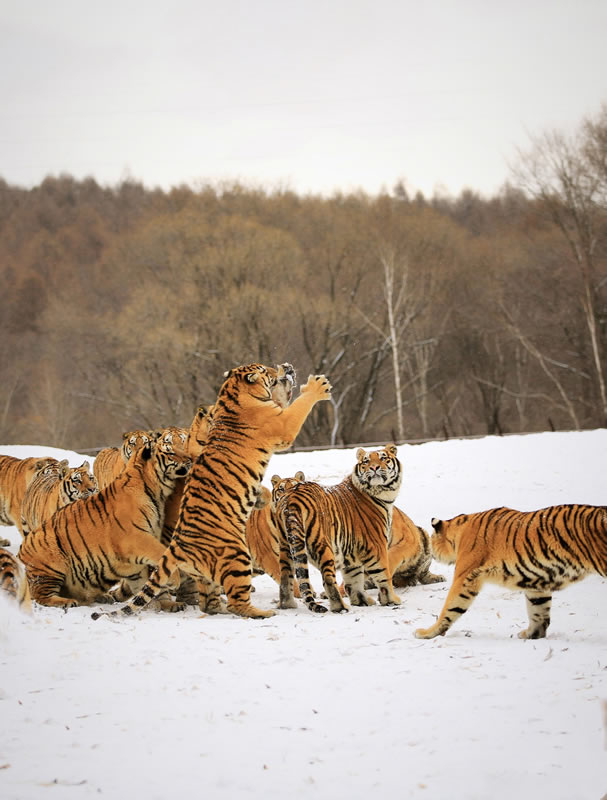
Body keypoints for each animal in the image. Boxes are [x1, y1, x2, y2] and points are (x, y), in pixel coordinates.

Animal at [19, 444, 191, 608]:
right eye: (170, 453)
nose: (190, 459)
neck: (156, 491)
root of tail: (21, 551)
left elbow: (144, 583)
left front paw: (159, 604)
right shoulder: (137, 538)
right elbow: (161, 553)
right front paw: (173, 582)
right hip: (50, 565)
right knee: (40, 596)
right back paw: (67, 602)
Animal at [91, 364, 332, 624]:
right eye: (266, 370)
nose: (284, 367)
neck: (231, 395)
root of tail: (177, 546)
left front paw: (261, 498)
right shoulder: (282, 424)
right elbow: (300, 405)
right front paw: (317, 386)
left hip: (208, 572)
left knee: (208, 602)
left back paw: (221, 607)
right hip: (238, 555)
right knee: (238, 603)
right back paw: (262, 613)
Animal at [416, 504, 607, 640]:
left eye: (432, 538)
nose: (432, 553)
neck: (460, 533)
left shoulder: (465, 576)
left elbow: (450, 607)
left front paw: (427, 632)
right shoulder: (537, 582)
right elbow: (538, 611)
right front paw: (532, 635)